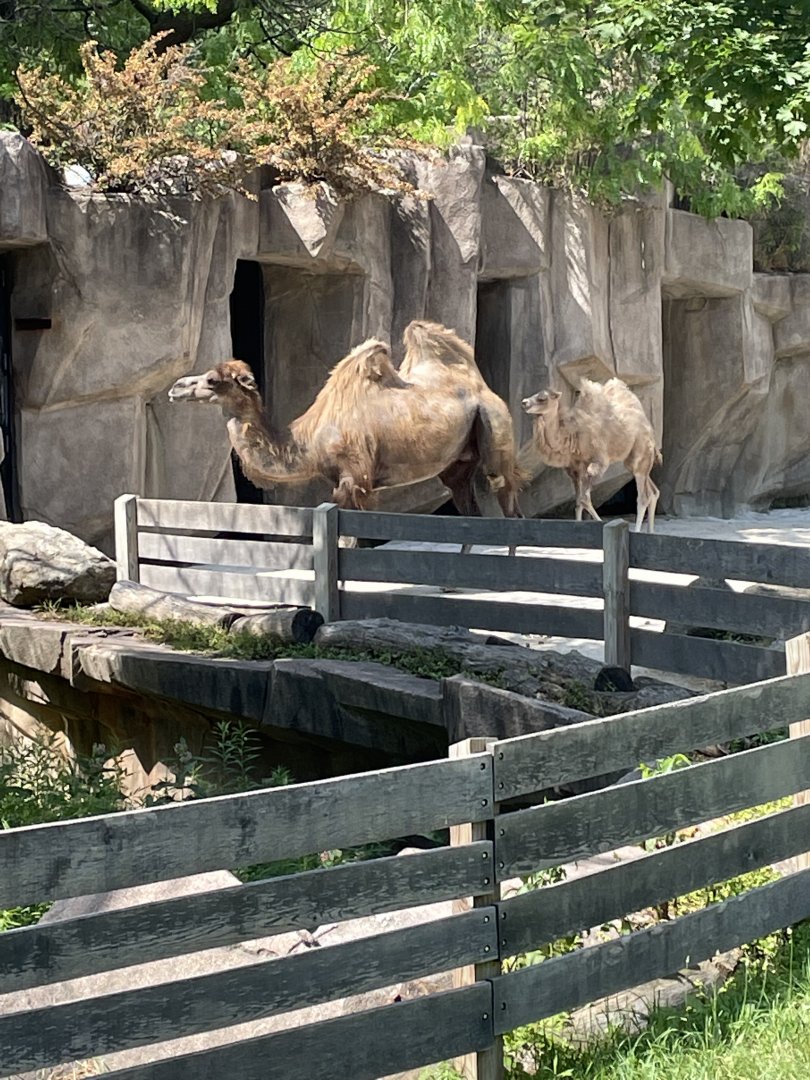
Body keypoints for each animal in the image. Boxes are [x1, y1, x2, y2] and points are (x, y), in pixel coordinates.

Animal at [168, 321, 523, 530]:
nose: (176, 387)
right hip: (459, 463)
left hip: (495, 429)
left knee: (507, 500)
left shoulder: (356, 478)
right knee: (474, 506)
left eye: (212, 380)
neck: (309, 441)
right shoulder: (340, 481)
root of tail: (482, 386)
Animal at [521, 378, 661, 531]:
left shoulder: (597, 462)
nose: (524, 402)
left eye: (542, 398)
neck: (572, 435)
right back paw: (651, 531)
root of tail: (650, 431)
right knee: (654, 492)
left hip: (640, 454)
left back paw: (637, 530)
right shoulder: (576, 468)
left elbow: (584, 499)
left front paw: (600, 523)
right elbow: (578, 502)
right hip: (636, 462)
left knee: (643, 497)